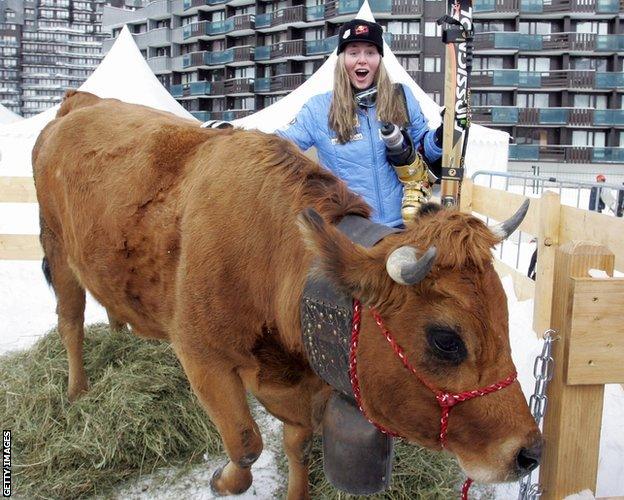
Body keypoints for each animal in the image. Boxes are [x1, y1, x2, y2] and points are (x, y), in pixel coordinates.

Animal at [33, 91, 540, 500]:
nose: (530, 452)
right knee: (69, 322)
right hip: (56, 248)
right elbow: (245, 442)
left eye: (504, 318)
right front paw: (225, 481)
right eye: (446, 340)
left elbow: (297, 443)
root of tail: (81, 102)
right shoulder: (201, 355)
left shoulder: (306, 376)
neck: (270, 255)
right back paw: (77, 391)